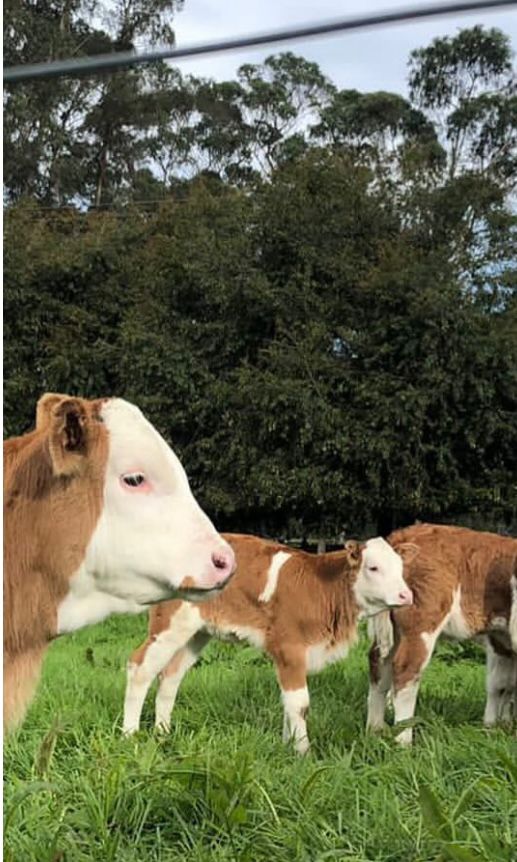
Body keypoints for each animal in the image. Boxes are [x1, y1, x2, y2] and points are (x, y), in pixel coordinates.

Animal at [122, 533, 415, 753]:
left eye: (402, 569)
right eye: (373, 567)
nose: (406, 595)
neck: (322, 588)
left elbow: (288, 702)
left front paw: (287, 745)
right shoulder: (289, 647)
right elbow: (300, 703)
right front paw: (303, 752)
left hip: (196, 633)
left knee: (170, 676)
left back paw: (162, 732)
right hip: (170, 624)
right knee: (140, 668)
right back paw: (130, 734)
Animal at [367, 523, 517, 745]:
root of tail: (406, 534)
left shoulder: (501, 639)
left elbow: (502, 684)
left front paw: (495, 726)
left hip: (393, 629)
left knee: (379, 662)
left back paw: (375, 729)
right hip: (421, 623)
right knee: (405, 669)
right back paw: (403, 740)